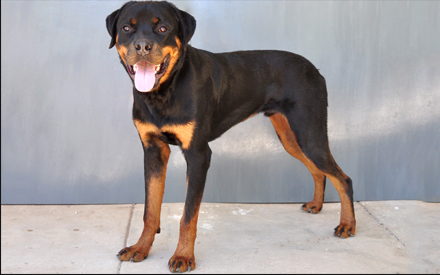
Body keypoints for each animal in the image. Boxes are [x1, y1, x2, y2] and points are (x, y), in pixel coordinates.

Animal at [105, 0, 354, 274]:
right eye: (127, 27)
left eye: (162, 28)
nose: (142, 47)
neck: (163, 93)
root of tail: (314, 70)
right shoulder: (153, 150)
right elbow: (150, 209)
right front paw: (140, 248)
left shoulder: (198, 154)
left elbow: (188, 215)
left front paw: (183, 256)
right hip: (291, 137)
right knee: (319, 171)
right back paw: (316, 205)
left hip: (309, 133)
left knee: (343, 178)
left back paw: (347, 225)